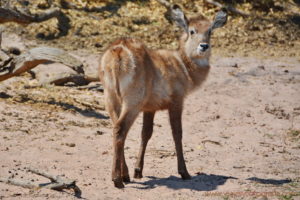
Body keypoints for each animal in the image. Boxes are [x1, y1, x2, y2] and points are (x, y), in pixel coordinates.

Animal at [99, 5, 227, 189]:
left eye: (209, 30)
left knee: (117, 128)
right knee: (120, 129)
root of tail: (118, 52)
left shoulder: (150, 108)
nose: (204, 46)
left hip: (111, 98)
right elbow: (177, 133)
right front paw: (184, 172)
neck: (184, 65)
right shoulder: (177, 102)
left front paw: (138, 171)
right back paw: (117, 180)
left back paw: (126, 175)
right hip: (132, 102)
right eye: (192, 30)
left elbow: (146, 133)